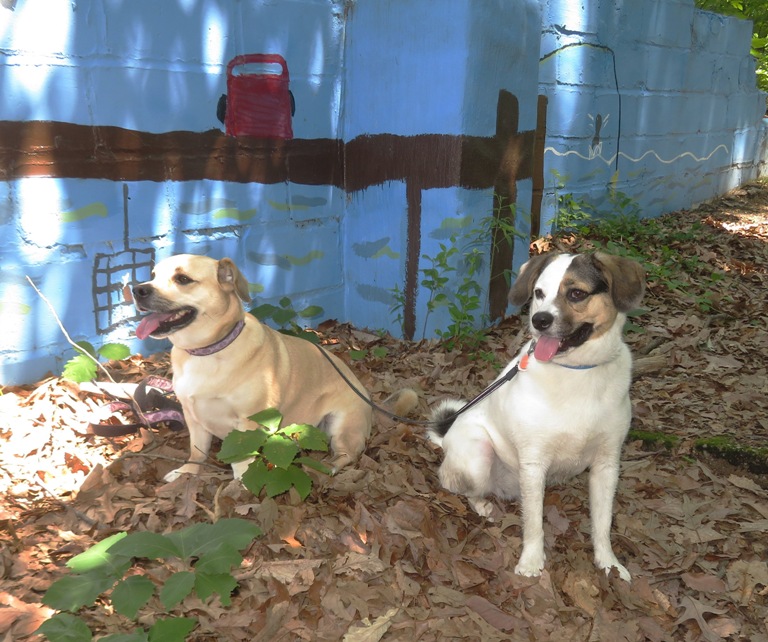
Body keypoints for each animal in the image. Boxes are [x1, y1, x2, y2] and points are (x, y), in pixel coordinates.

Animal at [132, 254, 414, 480]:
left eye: (183, 279)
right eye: (153, 276)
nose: (137, 289)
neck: (209, 350)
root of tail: (368, 399)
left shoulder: (249, 423)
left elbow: (242, 461)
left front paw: (240, 485)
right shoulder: (193, 417)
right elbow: (196, 452)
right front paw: (187, 473)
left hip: (341, 425)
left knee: (347, 454)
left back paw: (328, 467)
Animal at [428, 251, 644, 580]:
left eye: (576, 293)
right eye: (539, 293)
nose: (539, 320)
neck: (577, 372)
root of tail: (447, 437)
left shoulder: (607, 464)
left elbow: (602, 522)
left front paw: (608, 563)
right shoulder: (533, 463)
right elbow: (533, 524)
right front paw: (530, 562)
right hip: (478, 454)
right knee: (460, 486)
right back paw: (482, 505)